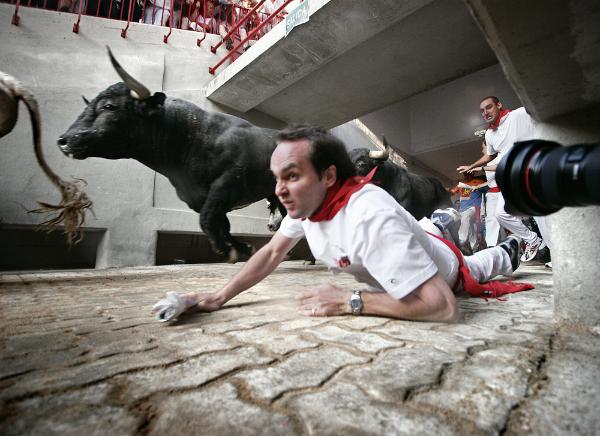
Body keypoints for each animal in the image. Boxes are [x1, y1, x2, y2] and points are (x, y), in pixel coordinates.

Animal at [58, 50, 286, 262]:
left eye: (109, 106)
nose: (63, 140)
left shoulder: (226, 185)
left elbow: (208, 220)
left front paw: (228, 249)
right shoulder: (200, 199)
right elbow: (222, 225)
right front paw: (240, 248)